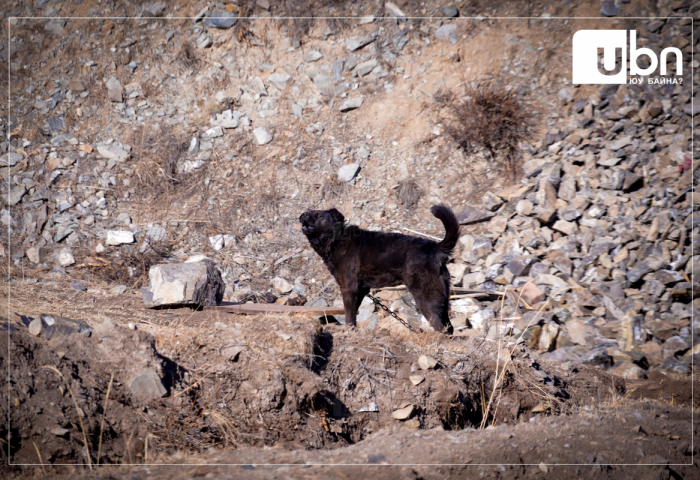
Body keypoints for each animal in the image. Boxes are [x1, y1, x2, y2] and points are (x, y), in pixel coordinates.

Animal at [300, 204, 460, 332]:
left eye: (319, 215)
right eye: (308, 213)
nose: (303, 215)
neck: (335, 239)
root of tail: (436, 248)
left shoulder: (348, 288)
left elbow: (349, 315)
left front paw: (348, 331)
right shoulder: (361, 290)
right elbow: (353, 313)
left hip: (425, 296)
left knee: (440, 327)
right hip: (442, 299)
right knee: (449, 327)